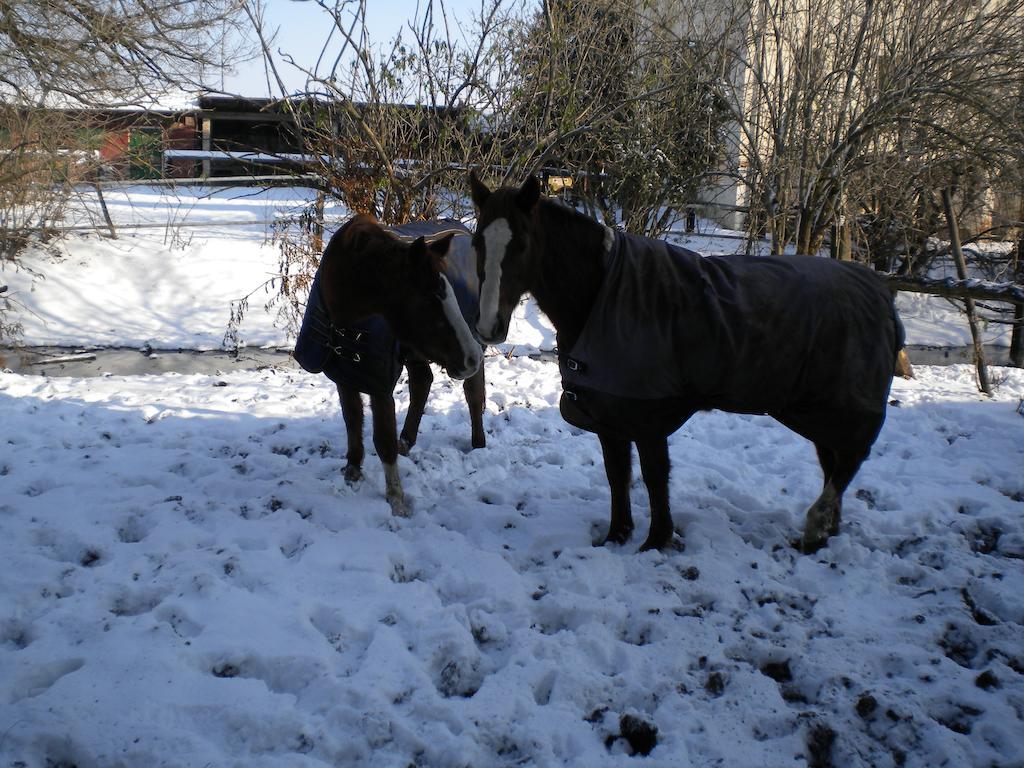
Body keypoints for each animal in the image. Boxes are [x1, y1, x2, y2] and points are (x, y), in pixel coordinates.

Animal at [294, 214, 485, 518]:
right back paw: (406, 440)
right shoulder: (345, 375)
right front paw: (352, 470)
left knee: (473, 393)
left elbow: (383, 439)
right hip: (416, 350)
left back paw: (478, 444)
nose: (471, 359)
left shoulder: (379, 384)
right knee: (422, 383)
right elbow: (352, 420)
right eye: (429, 299)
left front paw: (396, 500)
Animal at [468, 176, 901, 552]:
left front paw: (655, 541)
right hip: (816, 409)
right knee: (834, 462)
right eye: (476, 243)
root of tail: (879, 291)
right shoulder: (607, 413)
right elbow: (617, 474)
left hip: (837, 409)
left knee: (847, 462)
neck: (601, 294)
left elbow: (655, 476)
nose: (489, 326)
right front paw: (617, 535)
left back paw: (816, 527)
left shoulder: (647, 415)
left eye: (522, 244)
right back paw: (827, 532)